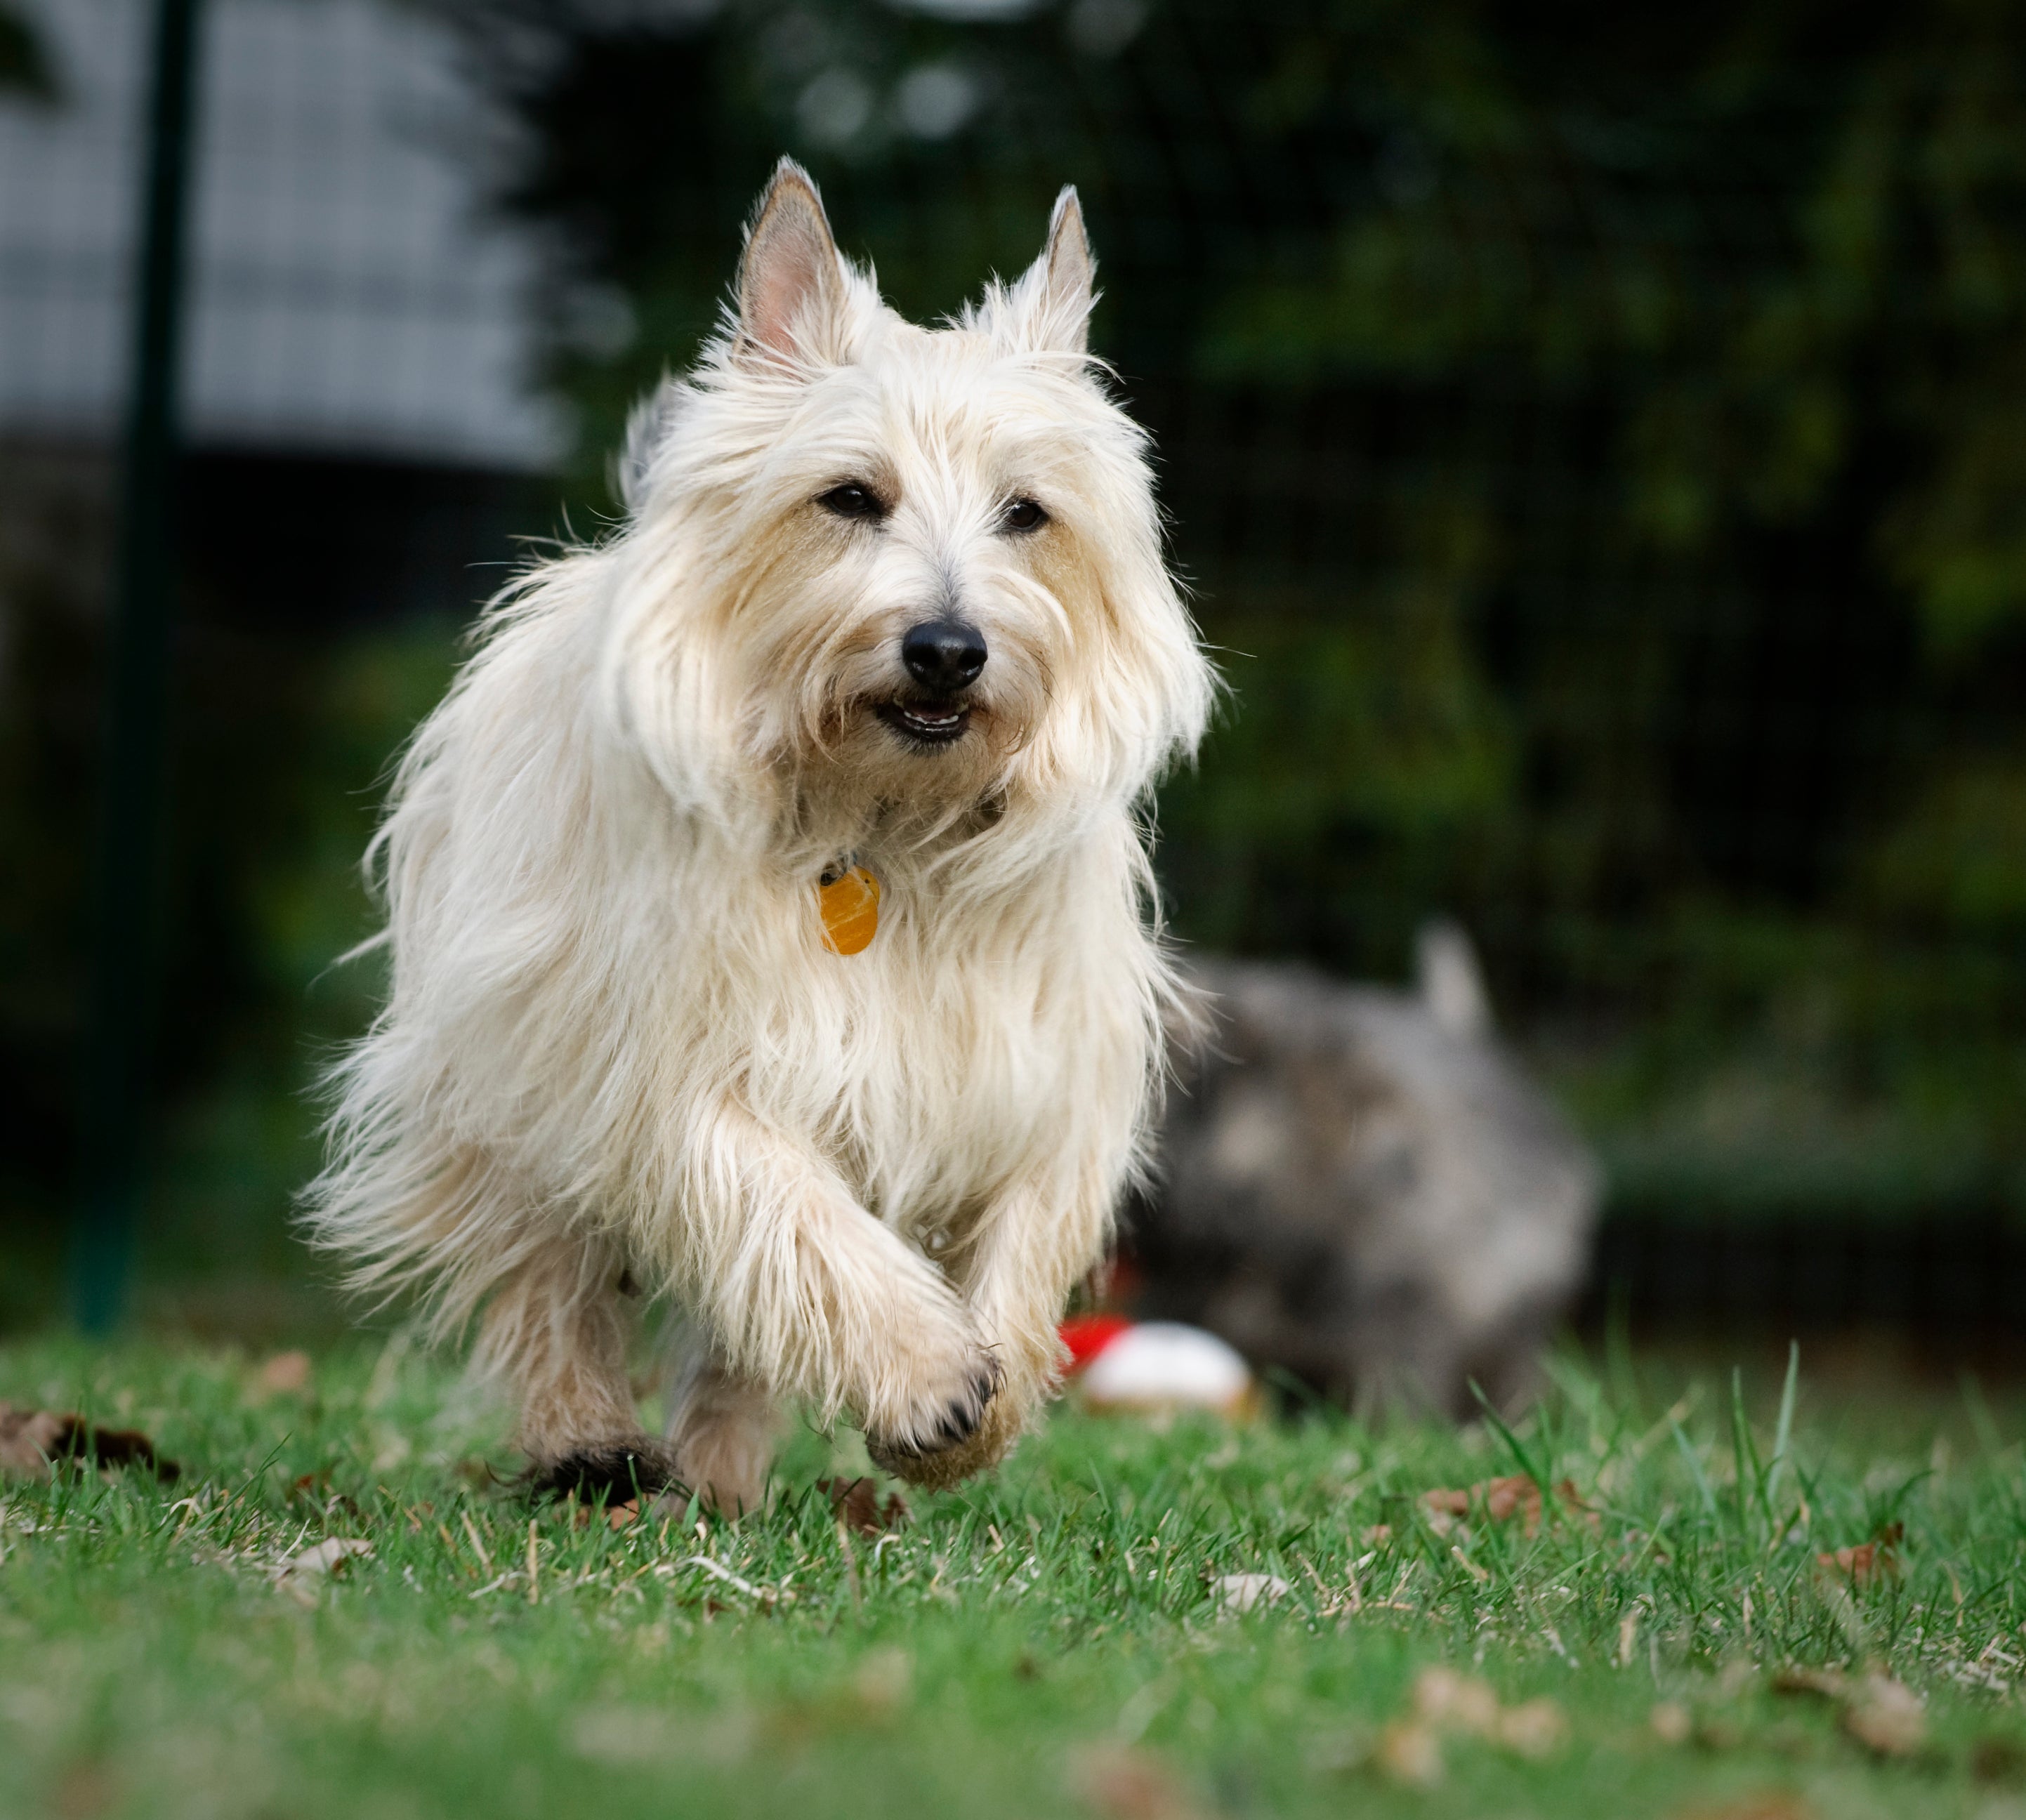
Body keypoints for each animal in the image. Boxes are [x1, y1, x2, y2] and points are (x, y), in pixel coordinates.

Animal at [308, 160, 1207, 1508]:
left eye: (1026, 513)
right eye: (849, 497)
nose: (948, 649)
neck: (881, 824)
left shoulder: (1035, 1073)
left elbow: (1017, 1236)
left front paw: (981, 1399)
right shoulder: (676, 1068)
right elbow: (793, 1213)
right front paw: (925, 1374)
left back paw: (723, 1474)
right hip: (502, 1077)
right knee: (548, 1280)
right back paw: (589, 1439)